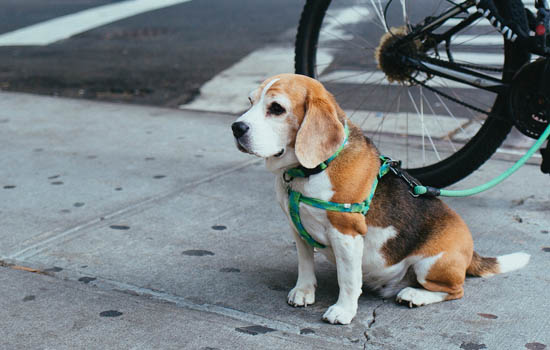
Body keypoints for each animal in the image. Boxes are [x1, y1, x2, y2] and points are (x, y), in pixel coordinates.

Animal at [232, 74, 532, 326]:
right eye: (250, 101)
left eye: (277, 108)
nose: (236, 127)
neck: (308, 171)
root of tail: (471, 252)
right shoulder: (297, 228)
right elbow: (305, 263)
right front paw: (304, 291)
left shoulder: (346, 234)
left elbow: (348, 279)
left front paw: (343, 310)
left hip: (430, 265)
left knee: (455, 290)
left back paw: (415, 295)